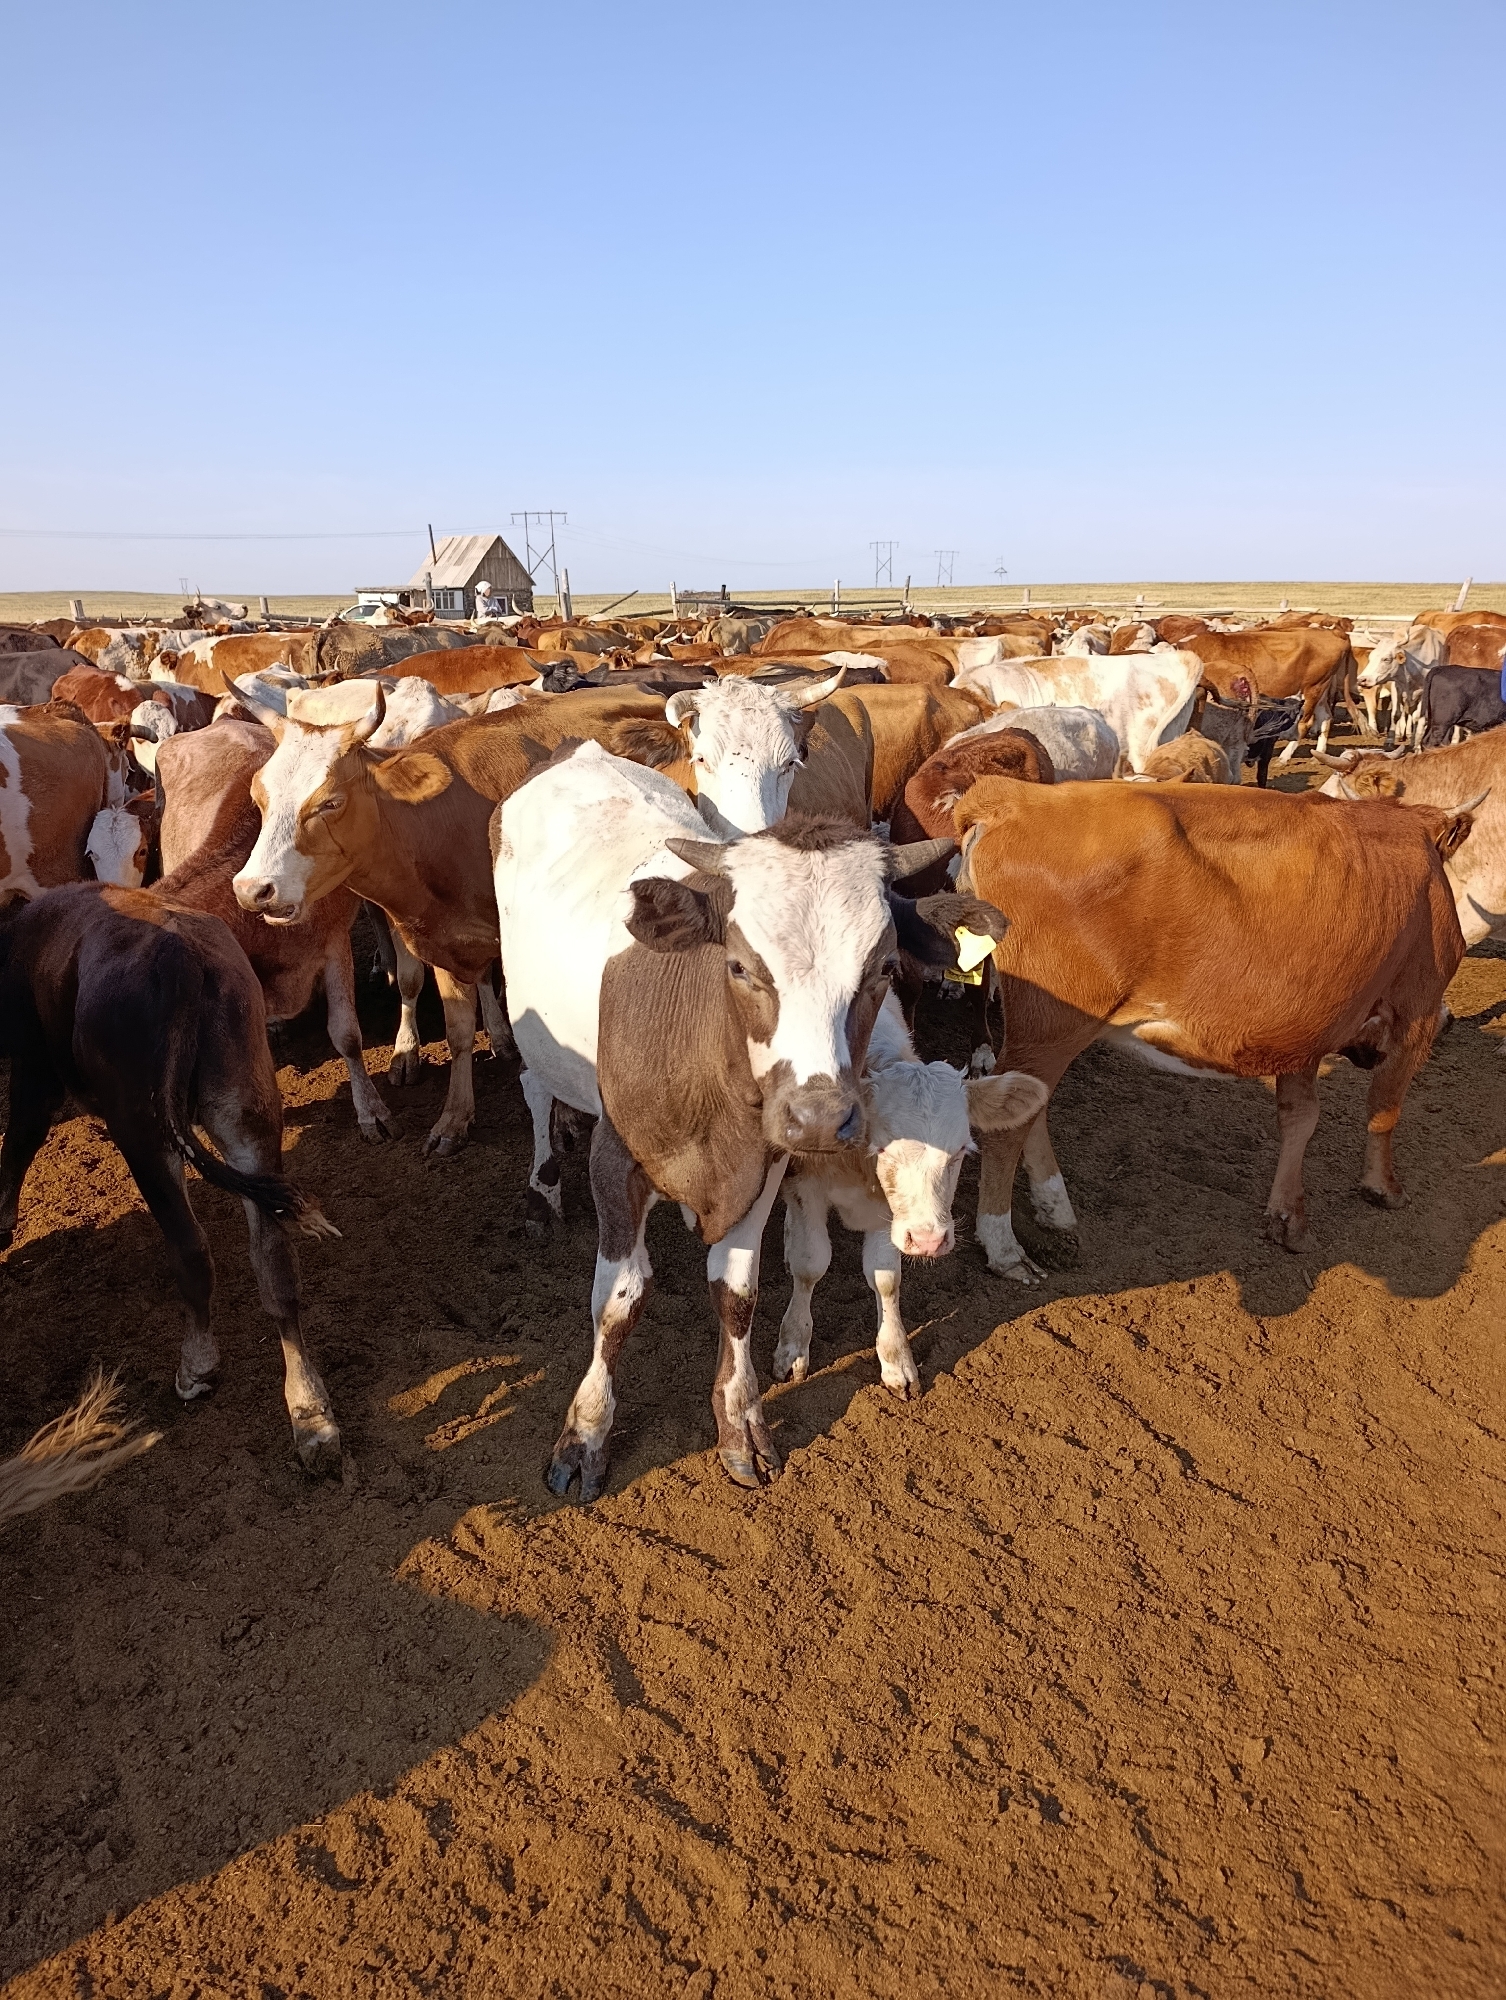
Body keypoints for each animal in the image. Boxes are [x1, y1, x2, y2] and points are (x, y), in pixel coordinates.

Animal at [0, 884, 342, 1469]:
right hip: (247, 1116)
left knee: (192, 1250)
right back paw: (311, 1416)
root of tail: (180, 956)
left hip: (145, 1136)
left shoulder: (32, 1074)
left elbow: (18, 1140)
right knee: (273, 1260)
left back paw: (198, 1366)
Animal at [492, 740, 979, 1496]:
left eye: (882, 968)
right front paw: (585, 1434)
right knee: (535, 1086)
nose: (818, 1117)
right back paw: (543, 1181)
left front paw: (741, 1422)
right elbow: (618, 1299)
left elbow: (738, 1293)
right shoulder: (616, 1158)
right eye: (742, 966)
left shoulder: (764, 1166)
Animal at [773, 991, 1047, 1396]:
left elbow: (886, 1278)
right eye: (885, 1147)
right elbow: (810, 1264)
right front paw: (793, 1346)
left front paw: (896, 1359)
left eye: (961, 1151)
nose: (929, 1240)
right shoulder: (805, 1184)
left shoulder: (888, 1211)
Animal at [953, 778, 1471, 1279]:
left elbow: (1300, 1117)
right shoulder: (1417, 1009)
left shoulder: (1304, 1029)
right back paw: (1004, 1247)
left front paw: (1288, 1216)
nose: (1451, 1021)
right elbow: (1384, 1109)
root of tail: (1010, 795)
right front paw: (1383, 1187)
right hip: (1053, 1026)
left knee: (1029, 1106)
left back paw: (1054, 1208)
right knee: (1008, 1125)